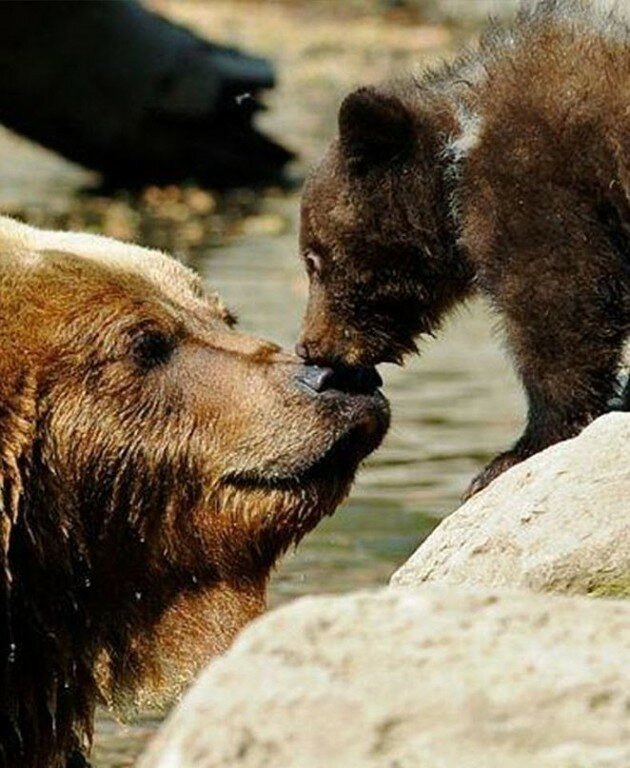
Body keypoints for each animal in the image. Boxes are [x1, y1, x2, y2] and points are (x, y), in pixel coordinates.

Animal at [296, 0, 630, 497]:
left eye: (313, 260)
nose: (309, 346)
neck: (457, 154)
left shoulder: (535, 180)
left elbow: (560, 302)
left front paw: (514, 452)